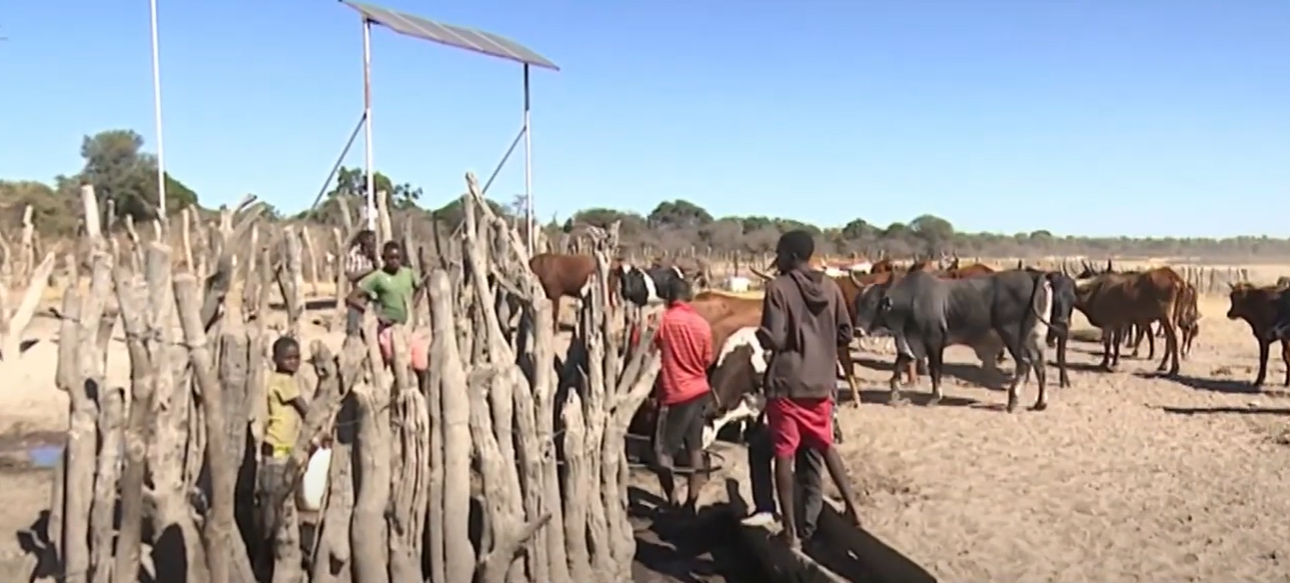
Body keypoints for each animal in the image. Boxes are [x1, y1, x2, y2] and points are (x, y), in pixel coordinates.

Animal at [854, 269, 1063, 412]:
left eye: (873, 303)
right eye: (858, 303)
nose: (857, 330)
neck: (911, 301)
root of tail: (1032, 276)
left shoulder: (934, 341)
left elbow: (935, 370)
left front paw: (934, 398)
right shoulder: (910, 345)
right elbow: (896, 372)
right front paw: (894, 396)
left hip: (1012, 335)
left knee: (1024, 364)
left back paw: (1013, 400)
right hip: (1035, 337)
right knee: (1039, 365)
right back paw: (1040, 403)